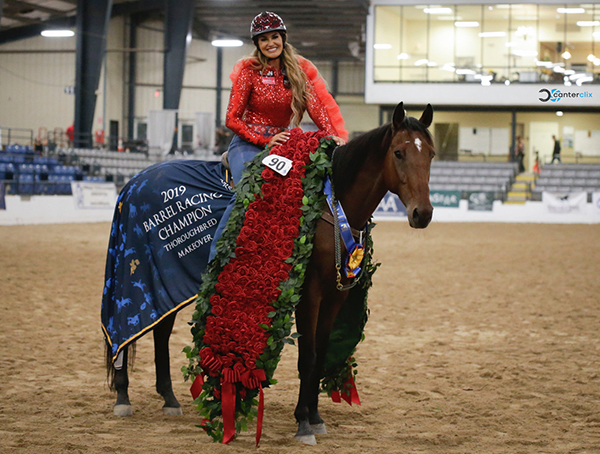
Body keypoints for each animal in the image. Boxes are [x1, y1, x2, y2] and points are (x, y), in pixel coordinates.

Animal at [105, 101, 434, 446]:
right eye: (399, 152)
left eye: (431, 154)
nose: (422, 213)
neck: (330, 204)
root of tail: (134, 183)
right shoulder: (309, 294)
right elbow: (308, 357)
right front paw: (303, 423)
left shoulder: (335, 296)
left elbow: (321, 355)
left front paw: (315, 417)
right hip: (134, 277)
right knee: (123, 332)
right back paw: (123, 397)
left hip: (166, 284)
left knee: (160, 330)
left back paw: (169, 399)